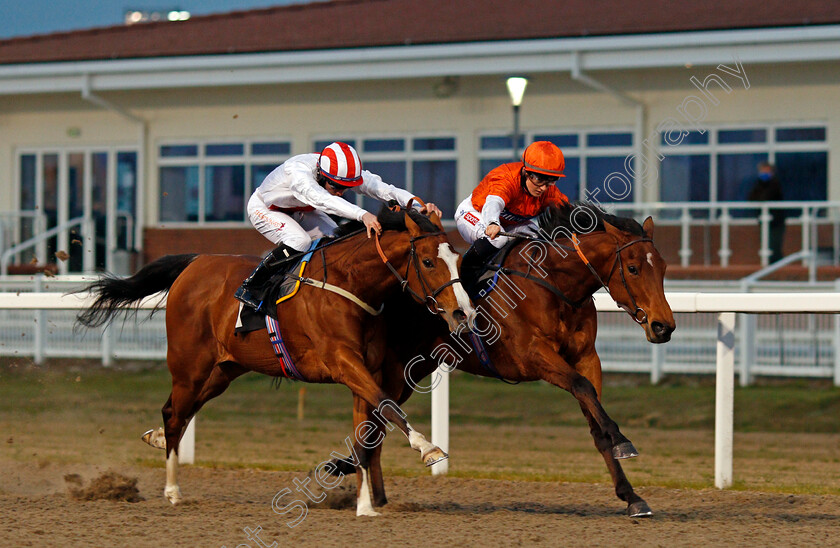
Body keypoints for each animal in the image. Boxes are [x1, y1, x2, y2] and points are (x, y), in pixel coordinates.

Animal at [75, 208, 476, 516]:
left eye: (457, 259)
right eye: (428, 261)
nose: (462, 312)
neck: (349, 283)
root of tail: (194, 262)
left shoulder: (369, 369)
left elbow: (369, 429)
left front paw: (364, 506)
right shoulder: (343, 361)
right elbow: (389, 406)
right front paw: (427, 448)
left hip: (222, 370)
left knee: (178, 411)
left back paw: (156, 439)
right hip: (190, 366)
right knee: (176, 413)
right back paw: (172, 490)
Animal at [338, 202, 672, 520]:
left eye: (663, 267)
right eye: (633, 268)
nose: (663, 326)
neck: (553, 282)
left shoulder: (587, 357)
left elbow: (595, 419)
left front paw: (632, 496)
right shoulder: (533, 356)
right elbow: (582, 387)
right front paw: (623, 439)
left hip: (413, 370)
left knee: (379, 422)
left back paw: (378, 495)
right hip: (394, 369)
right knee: (376, 419)